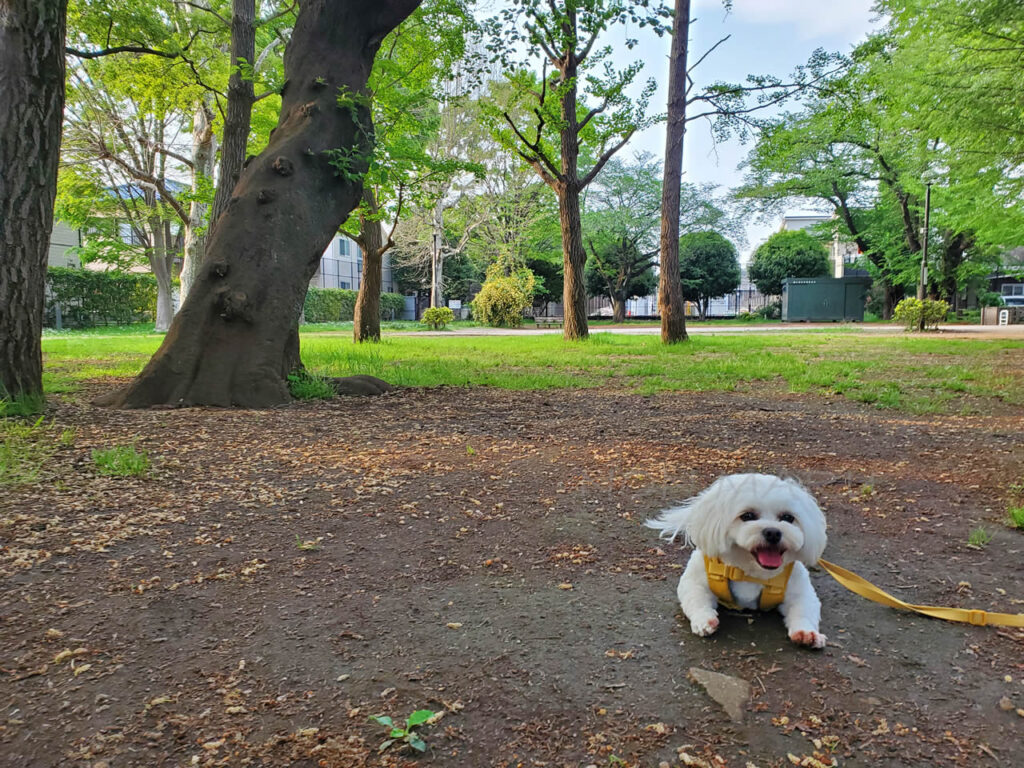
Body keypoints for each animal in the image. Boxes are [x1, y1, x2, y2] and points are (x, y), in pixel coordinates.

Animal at [647, 475, 831, 651]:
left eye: (787, 517)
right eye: (747, 516)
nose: (773, 532)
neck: (749, 572)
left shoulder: (800, 589)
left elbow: (803, 608)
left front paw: (807, 633)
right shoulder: (694, 580)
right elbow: (695, 597)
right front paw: (704, 619)